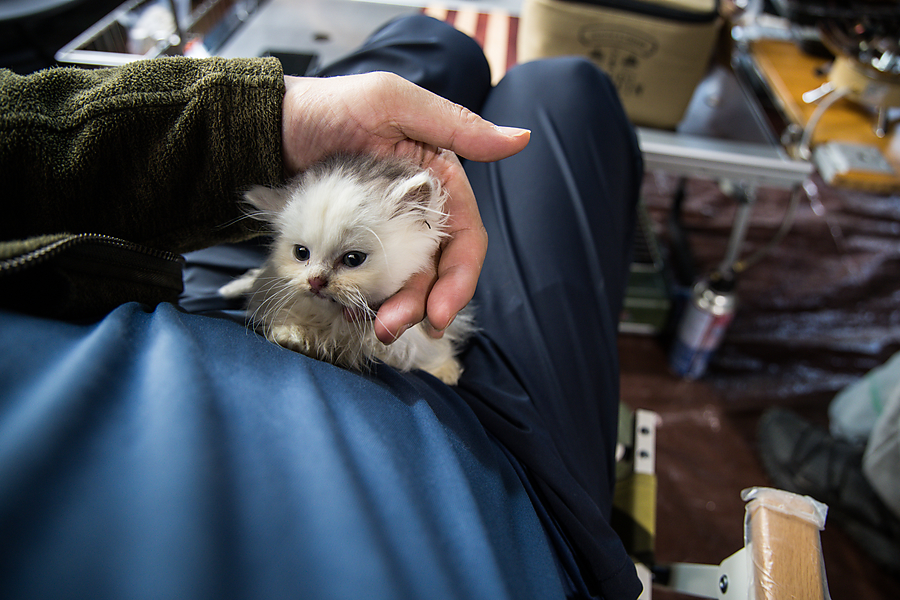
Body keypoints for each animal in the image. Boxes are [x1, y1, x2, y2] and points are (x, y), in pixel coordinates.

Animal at [221, 151, 474, 384]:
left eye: (353, 259)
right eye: (301, 253)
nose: (315, 281)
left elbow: (426, 350)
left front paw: (444, 371)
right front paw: (292, 335)